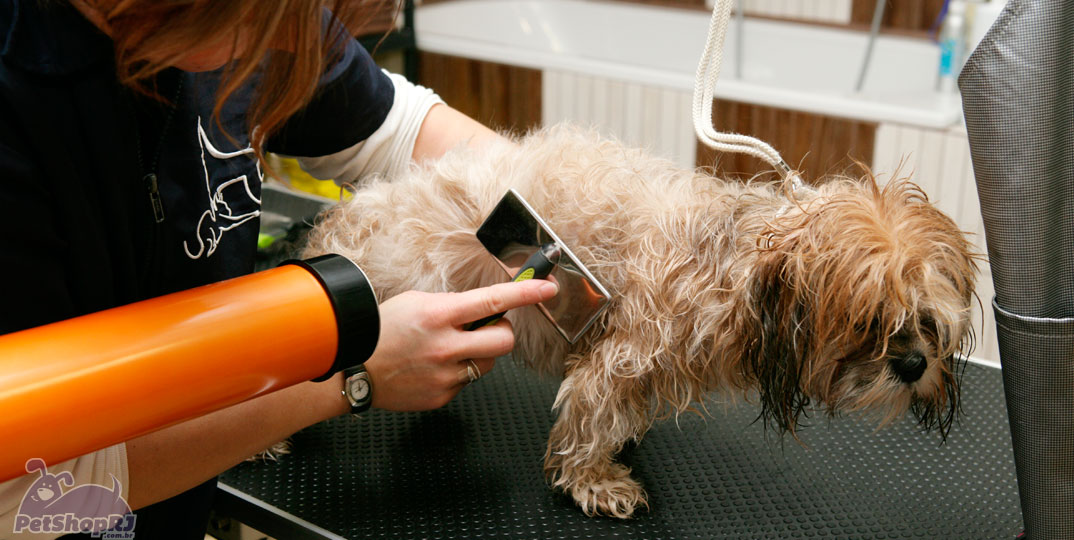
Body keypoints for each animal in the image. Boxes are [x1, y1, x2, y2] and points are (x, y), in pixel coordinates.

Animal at [298, 123, 979, 519]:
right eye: (869, 321)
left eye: (928, 320)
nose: (914, 363)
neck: (736, 265)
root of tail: (345, 221)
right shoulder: (624, 351)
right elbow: (587, 416)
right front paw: (593, 479)